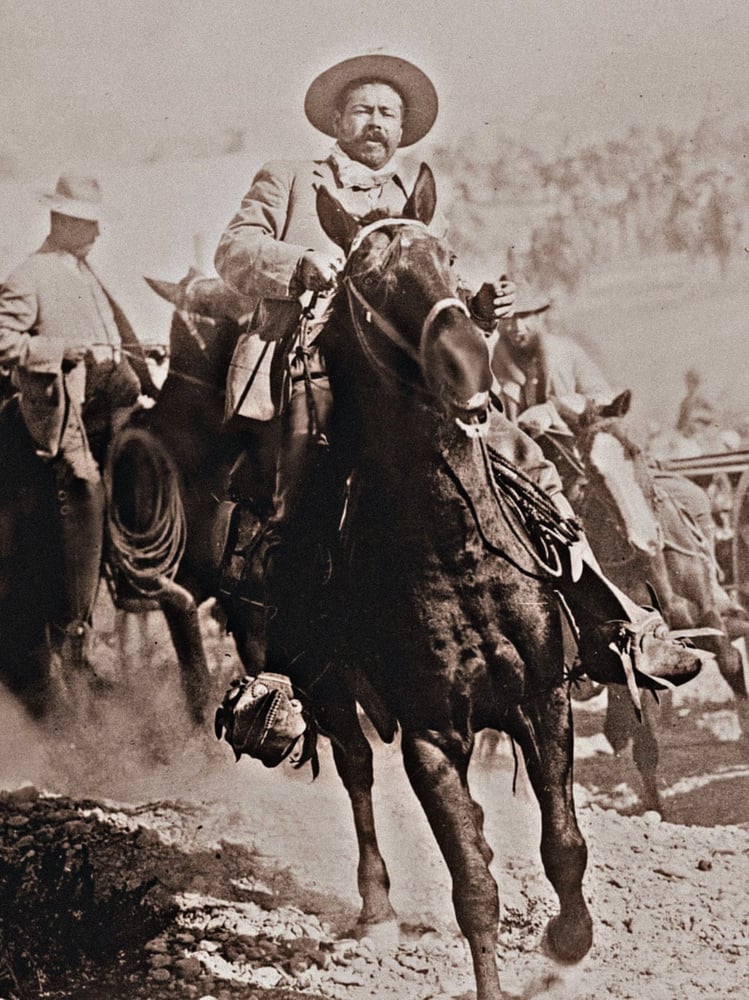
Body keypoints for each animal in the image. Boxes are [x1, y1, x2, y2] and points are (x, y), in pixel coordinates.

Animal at [536, 390, 748, 812]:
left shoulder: (710, 619)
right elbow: (644, 735)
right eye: (594, 472)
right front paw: (653, 807)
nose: (645, 539)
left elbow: (732, 664)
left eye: (634, 451)